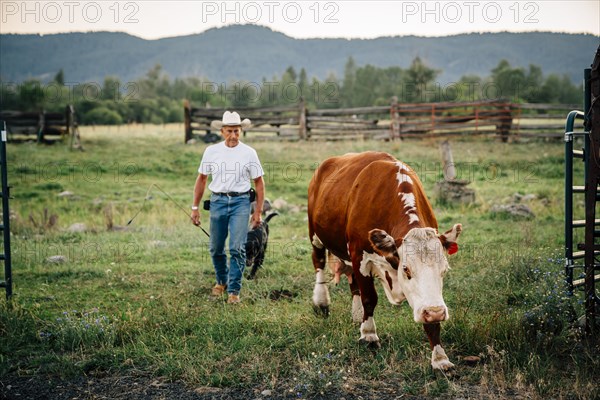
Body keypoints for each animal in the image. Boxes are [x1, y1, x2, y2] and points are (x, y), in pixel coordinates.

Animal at [308, 152, 462, 370]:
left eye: (444, 270)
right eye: (406, 269)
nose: (435, 312)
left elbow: (429, 318)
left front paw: (440, 358)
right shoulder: (359, 255)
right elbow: (369, 298)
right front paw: (369, 335)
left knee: (352, 282)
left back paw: (357, 315)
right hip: (315, 235)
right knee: (319, 263)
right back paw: (321, 301)